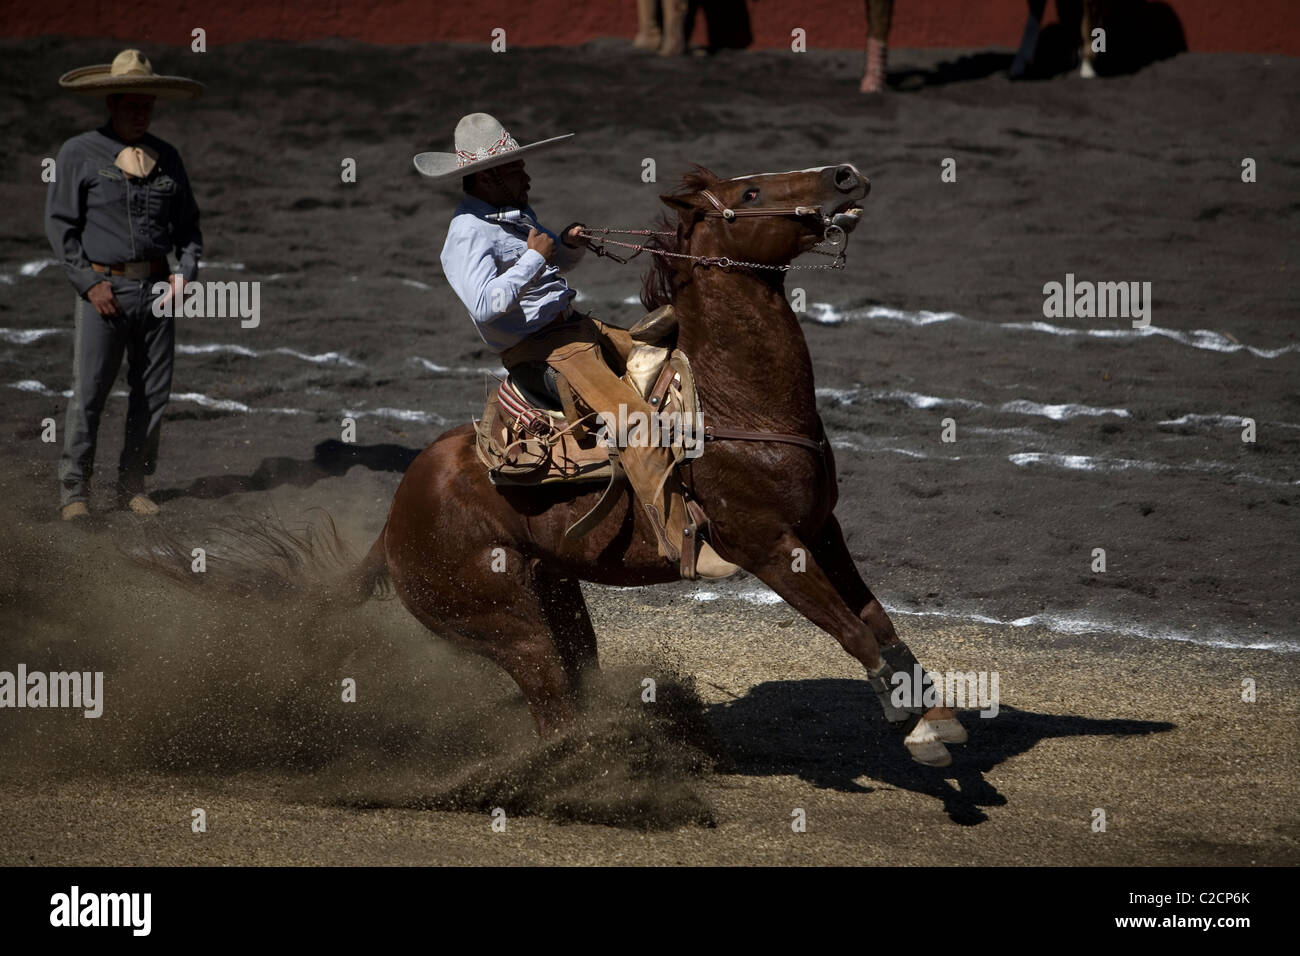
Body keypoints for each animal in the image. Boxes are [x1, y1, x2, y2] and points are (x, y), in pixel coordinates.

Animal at [348, 160, 967, 764]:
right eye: (750, 192)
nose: (844, 175)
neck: (736, 404)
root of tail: (391, 523)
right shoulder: (767, 548)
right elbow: (853, 632)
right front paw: (910, 724)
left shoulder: (821, 528)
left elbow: (878, 621)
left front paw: (934, 716)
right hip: (504, 624)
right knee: (550, 707)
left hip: (554, 591)